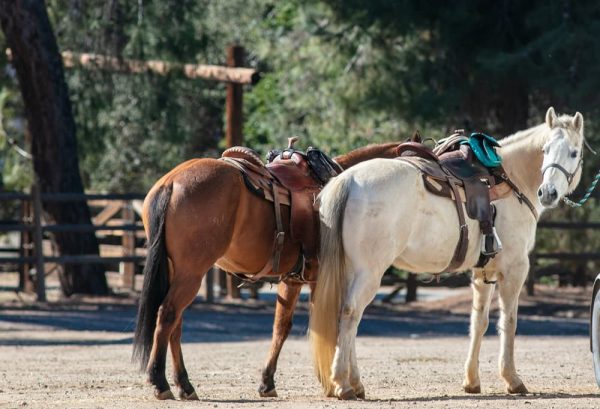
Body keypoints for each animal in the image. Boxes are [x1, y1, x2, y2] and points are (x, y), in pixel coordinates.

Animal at [131, 140, 404, 398]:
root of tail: (172, 182)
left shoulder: (293, 280)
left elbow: (281, 328)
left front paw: (267, 381)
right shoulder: (326, 279)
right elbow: (333, 325)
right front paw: (335, 383)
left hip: (179, 272)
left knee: (174, 324)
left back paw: (184, 385)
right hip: (191, 274)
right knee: (167, 315)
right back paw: (159, 381)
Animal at [312, 107, 584, 398]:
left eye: (573, 152)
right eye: (545, 150)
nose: (548, 193)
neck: (511, 179)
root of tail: (348, 179)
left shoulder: (483, 272)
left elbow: (479, 321)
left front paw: (472, 380)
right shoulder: (515, 269)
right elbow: (508, 322)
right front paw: (512, 379)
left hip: (351, 270)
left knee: (347, 316)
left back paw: (355, 382)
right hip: (369, 272)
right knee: (350, 313)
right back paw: (342, 383)